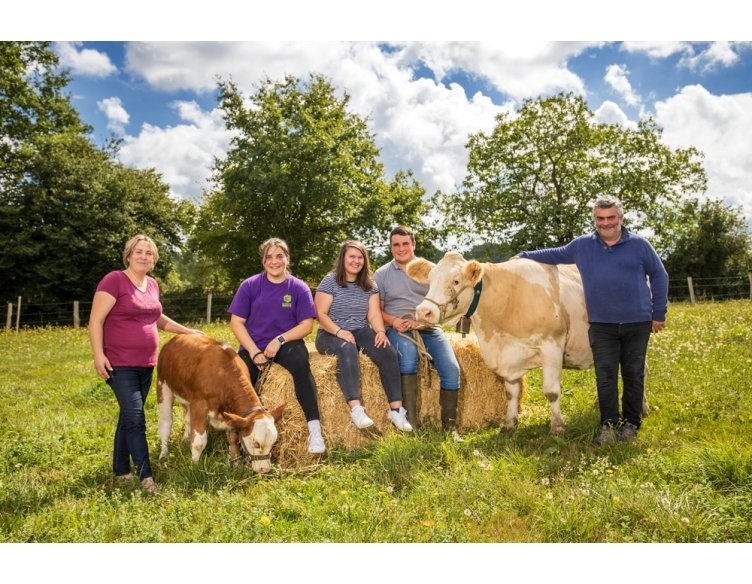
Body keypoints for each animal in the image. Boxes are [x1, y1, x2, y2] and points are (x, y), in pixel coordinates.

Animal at [156, 336, 284, 472]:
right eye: (256, 443)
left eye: (273, 443)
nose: (265, 469)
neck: (221, 374)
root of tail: (176, 338)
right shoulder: (199, 405)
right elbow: (198, 442)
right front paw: (194, 466)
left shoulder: (232, 414)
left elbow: (233, 439)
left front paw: (236, 465)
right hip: (163, 386)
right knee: (165, 422)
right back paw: (163, 455)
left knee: (187, 418)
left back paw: (185, 439)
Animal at [408, 253, 596, 436]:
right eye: (430, 280)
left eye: (456, 281)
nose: (423, 312)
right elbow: (510, 394)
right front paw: (509, 425)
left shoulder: (552, 345)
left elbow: (551, 392)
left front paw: (557, 427)